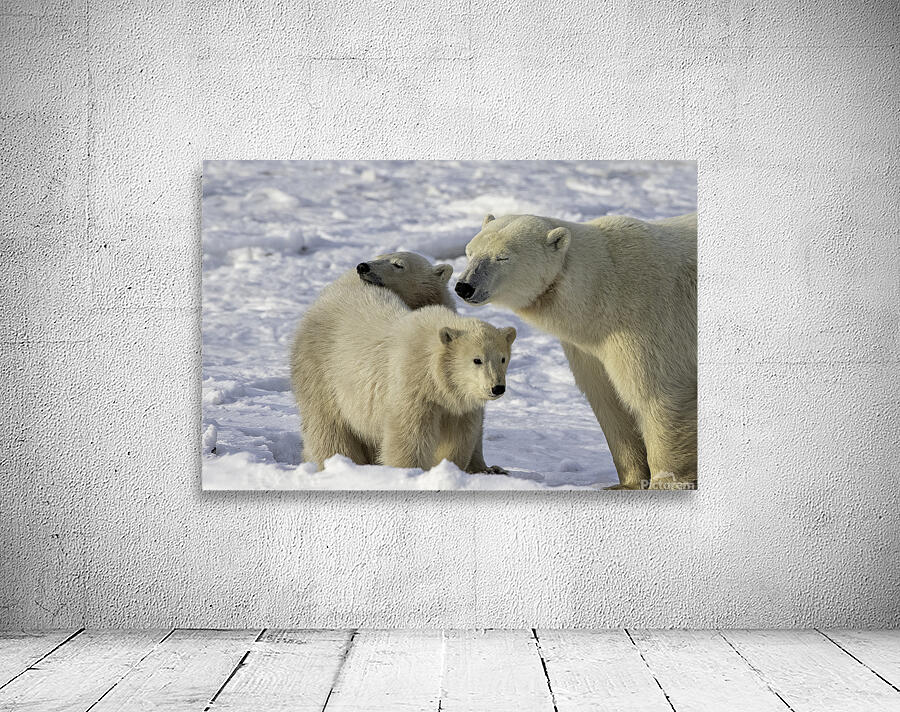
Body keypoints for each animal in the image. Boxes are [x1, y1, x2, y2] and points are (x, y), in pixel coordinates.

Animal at [291, 252, 514, 473]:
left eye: (398, 265)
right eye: (477, 360)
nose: (363, 267)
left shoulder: (457, 404)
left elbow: (460, 438)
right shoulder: (412, 387)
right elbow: (409, 438)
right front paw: (409, 472)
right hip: (321, 368)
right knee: (328, 427)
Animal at [455, 212, 697, 490]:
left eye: (502, 257)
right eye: (470, 252)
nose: (464, 286)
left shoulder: (647, 321)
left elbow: (657, 392)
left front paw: (666, 482)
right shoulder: (589, 348)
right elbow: (607, 399)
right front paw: (626, 483)